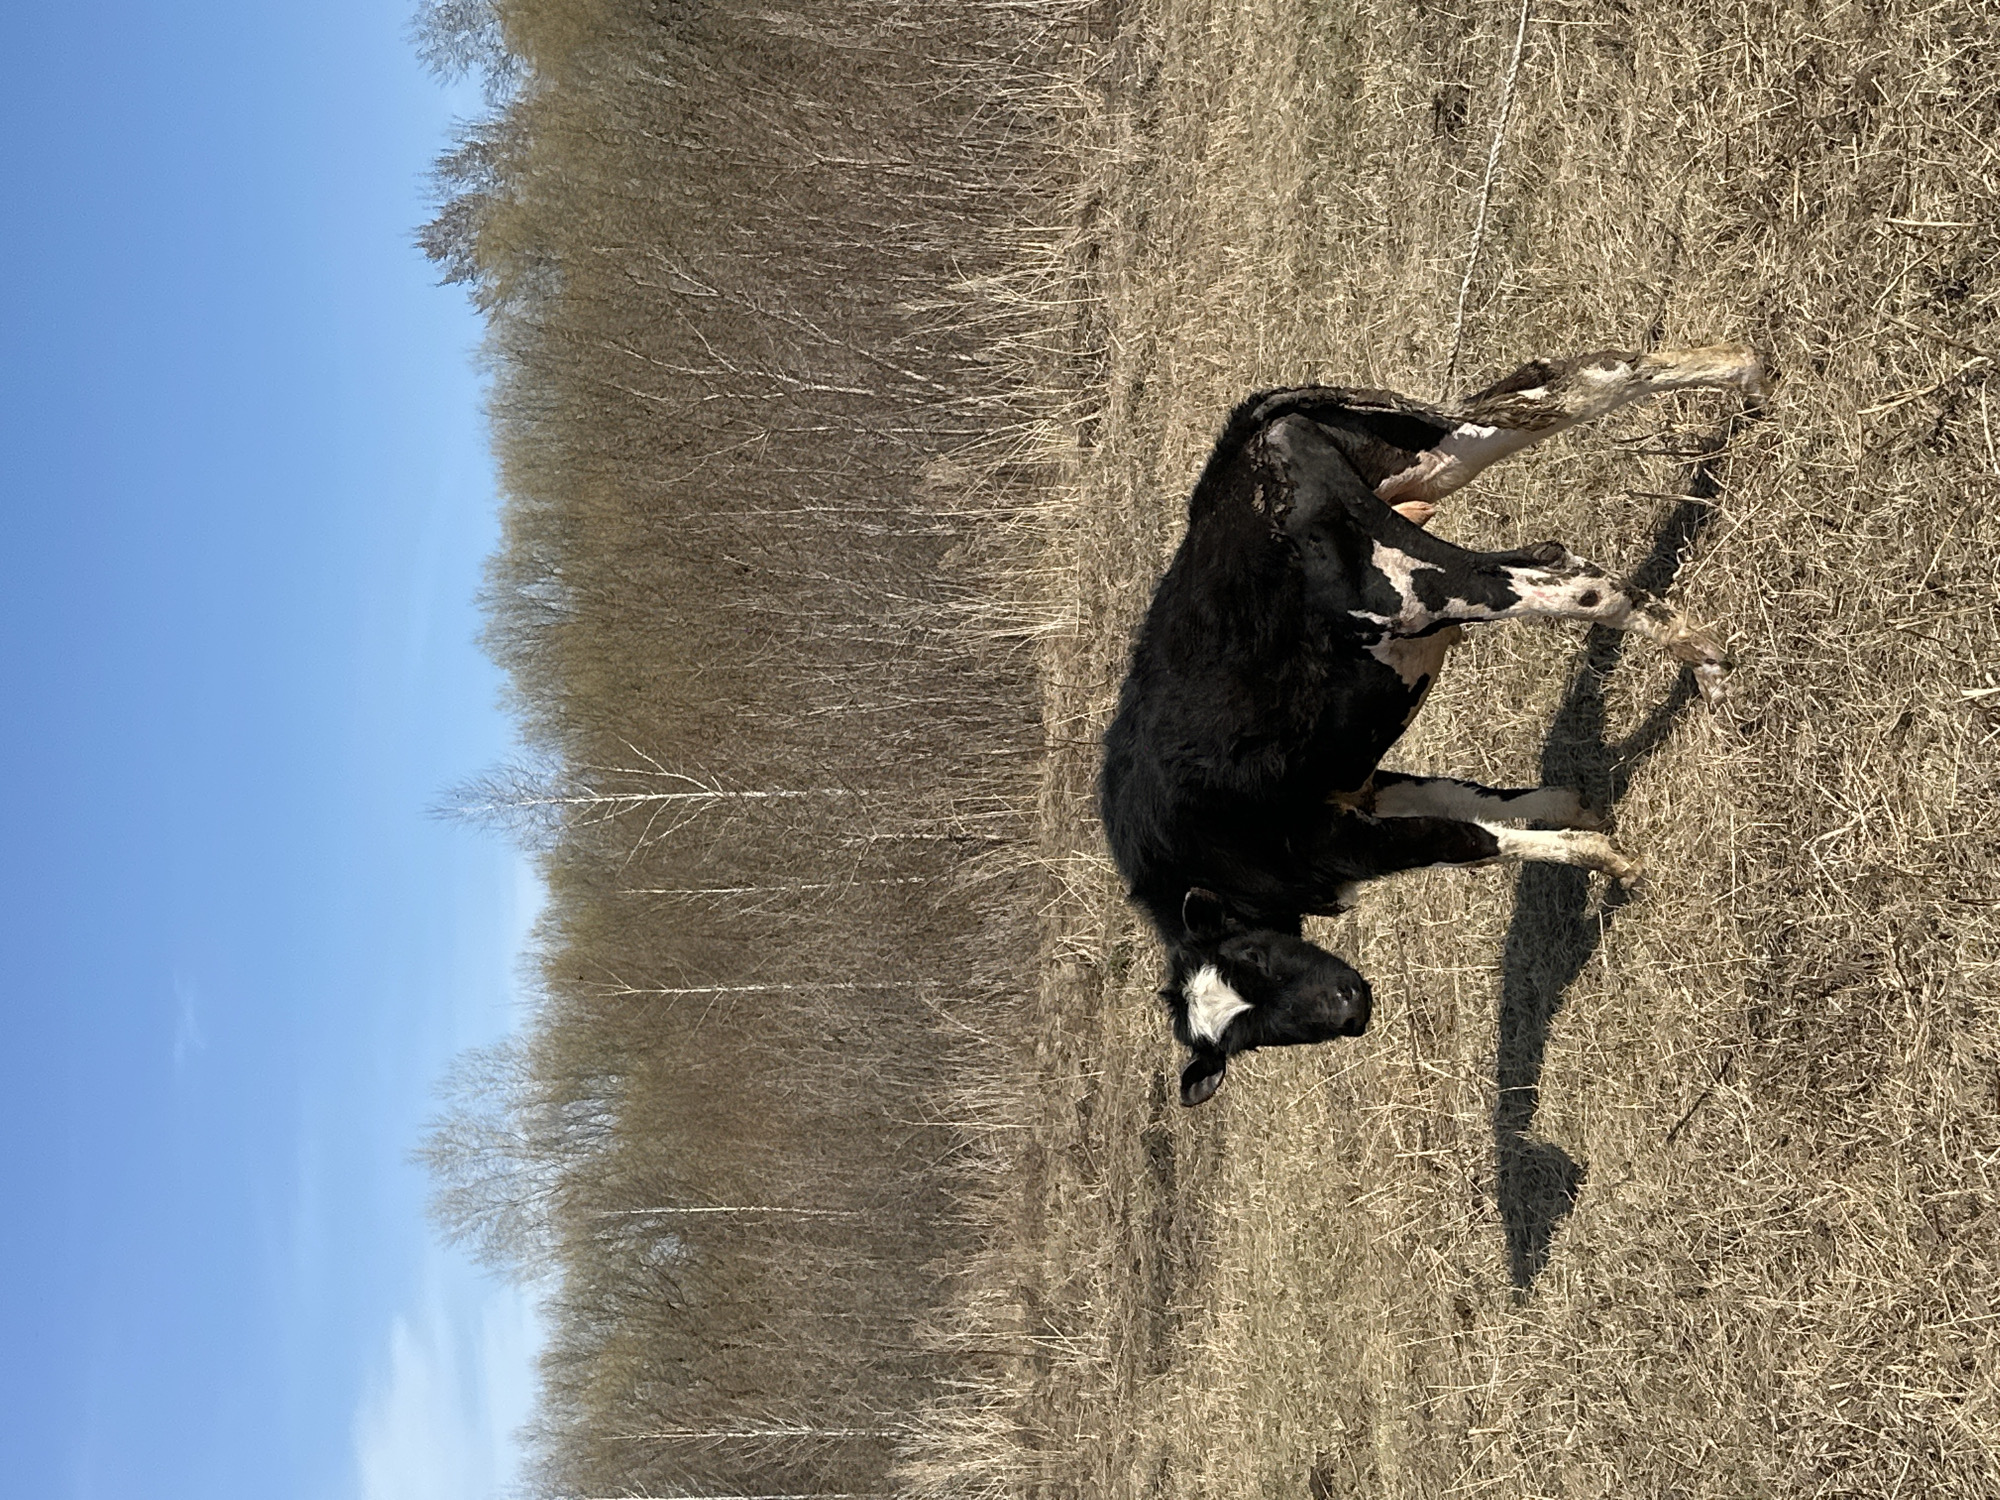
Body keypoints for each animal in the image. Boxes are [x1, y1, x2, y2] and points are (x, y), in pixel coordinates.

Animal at [1098, 345, 1765, 1106]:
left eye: (1256, 959)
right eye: (1257, 1036)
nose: (1348, 1004)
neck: (1199, 865)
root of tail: (1250, 436)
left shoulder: (1342, 844)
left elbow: (1467, 838)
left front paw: (1606, 857)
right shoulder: (1360, 789)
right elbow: (1465, 798)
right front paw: (1576, 809)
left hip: (1416, 587)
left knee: (1576, 581)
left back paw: (1707, 661)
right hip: (1430, 453)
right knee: (1586, 381)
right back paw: (1744, 374)